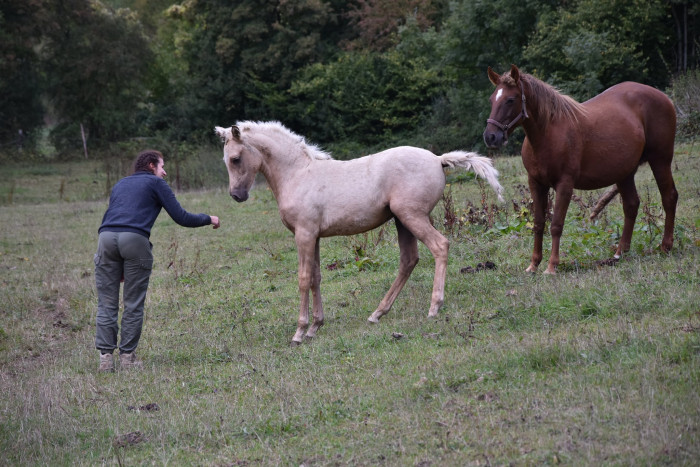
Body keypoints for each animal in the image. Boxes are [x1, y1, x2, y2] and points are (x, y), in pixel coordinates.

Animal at [215, 122, 504, 346]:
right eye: (226, 160)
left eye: (236, 158)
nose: (236, 195)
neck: (298, 174)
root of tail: (437, 159)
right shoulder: (314, 236)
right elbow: (316, 277)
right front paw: (315, 327)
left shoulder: (304, 234)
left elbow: (304, 278)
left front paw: (299, 332)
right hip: (402, 220)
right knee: (408, 260)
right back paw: (378, 313)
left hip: (412, 216)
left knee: (439, 246)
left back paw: (434, 307)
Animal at [484, 64, 676, 272]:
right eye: (492, 99)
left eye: (510, 100)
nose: (490, 137)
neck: (548, 134)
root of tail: (665, 98)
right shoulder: (536, 183)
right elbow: (538, 223)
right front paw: (533, 265)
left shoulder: (565, 185)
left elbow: (556, 225)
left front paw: (551, 266)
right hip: (625, 173)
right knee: (631, 205)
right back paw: (620, 253)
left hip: (660, 161)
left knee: (669, 197)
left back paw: (666, 246)